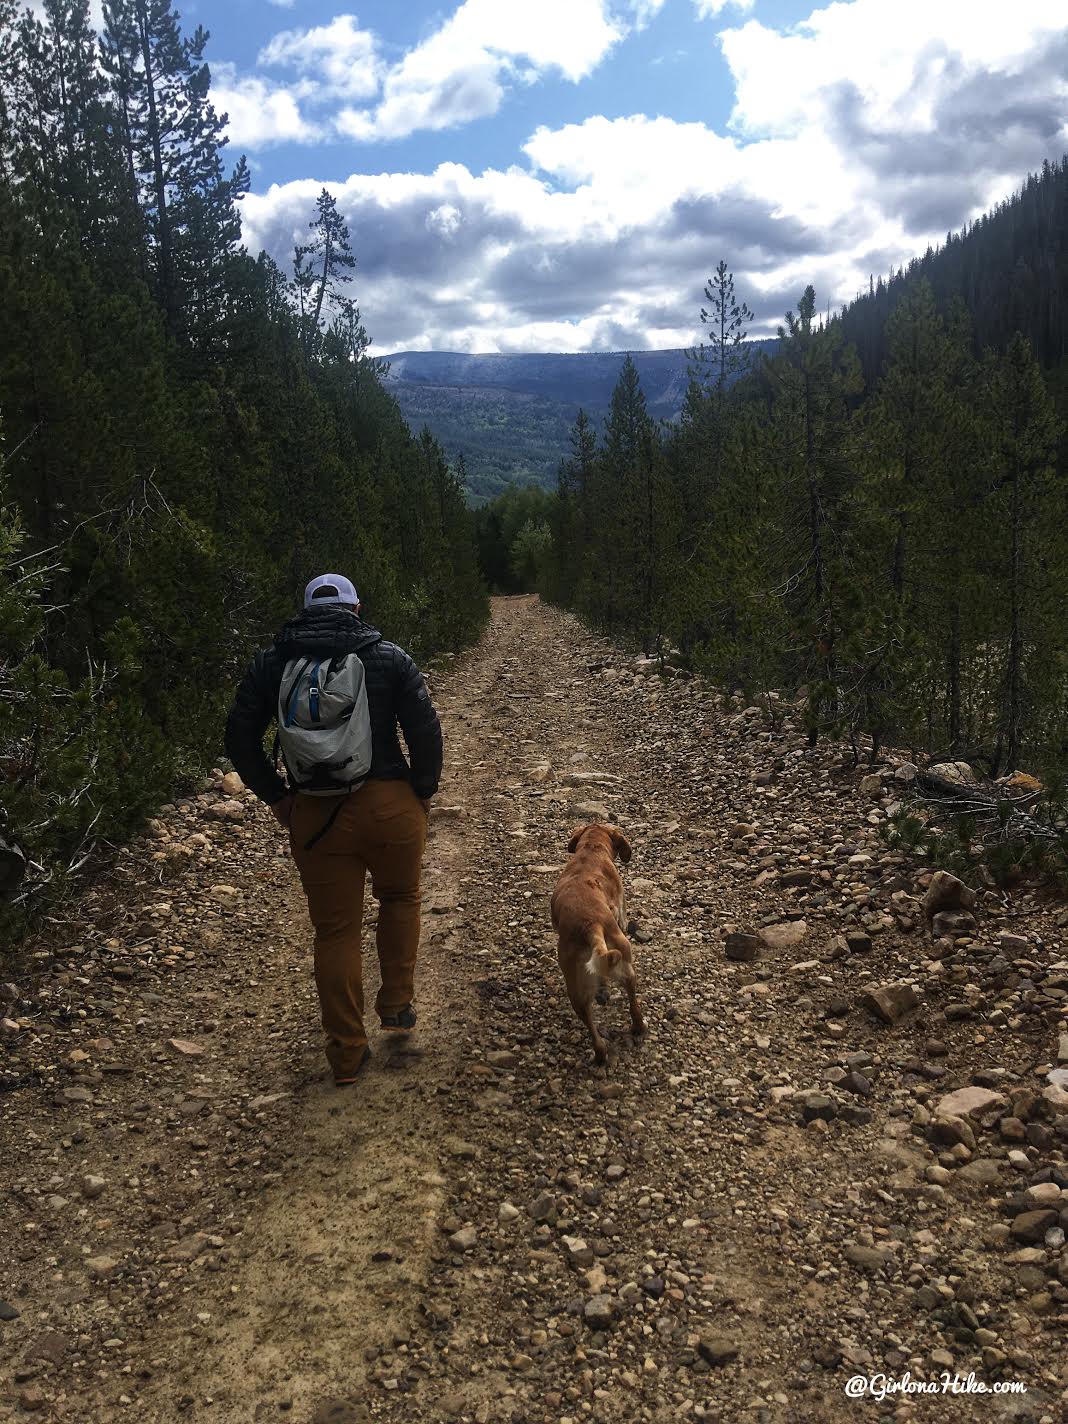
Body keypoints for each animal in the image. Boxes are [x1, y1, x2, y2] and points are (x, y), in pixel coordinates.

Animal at [552, 820, 643, 1065]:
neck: (591, 850)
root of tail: (589, 925)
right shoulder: (621, 912)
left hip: (577, 989)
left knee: (590, 1021)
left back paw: (602, 1051)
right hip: (622, 952)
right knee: (631, 991)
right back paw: (638, 1026)